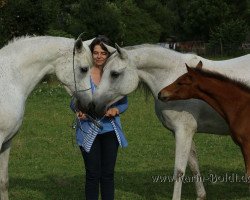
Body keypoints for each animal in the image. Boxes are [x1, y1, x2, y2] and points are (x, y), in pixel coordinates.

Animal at [93, 44, 250, 200]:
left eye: (114, 74)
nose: (94, 105)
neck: (170, 75)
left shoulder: (183, 131)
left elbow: (179, 170)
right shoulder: (180, 133)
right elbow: (193, 164)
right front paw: (201, 195)